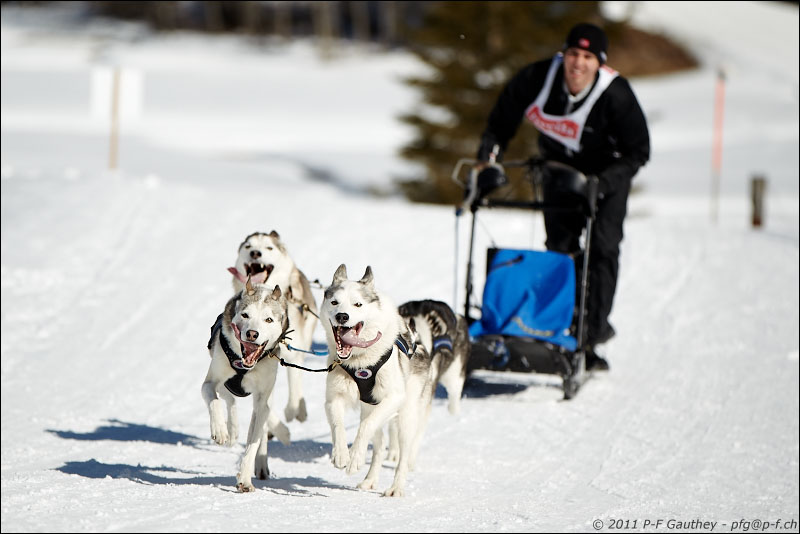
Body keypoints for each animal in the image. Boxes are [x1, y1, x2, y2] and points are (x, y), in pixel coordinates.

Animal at [201, 280, 291, 492]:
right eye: (245, 315)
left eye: (268, 319)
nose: (252, 334)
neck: (246, 366)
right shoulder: (211, 382)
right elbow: (214, 400)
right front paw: (220, 430)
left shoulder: (263, 398)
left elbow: (253, 443)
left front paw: (245, 479)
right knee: (229, 401)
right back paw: (231, 430)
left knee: (261, 425)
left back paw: (262, 463)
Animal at [227, 230, 317, 424]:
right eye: (248, 246)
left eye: (269, 247)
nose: (255, 253)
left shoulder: (292, 352)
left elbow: (294, 381)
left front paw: (292, 410)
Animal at [320, 264, 436, 497]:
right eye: (334, 302)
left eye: (358, 304)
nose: (342, 316)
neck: (360, 362)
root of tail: (418, 342)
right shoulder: (333, 398)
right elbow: (338, 425)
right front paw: (341, 454)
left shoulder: (393, 398)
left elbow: (365, 427)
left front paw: (354, 458)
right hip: (370, 408)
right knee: (379, 446)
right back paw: (370, 480)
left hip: (405, 417)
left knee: (401, 454)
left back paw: (396, 488)